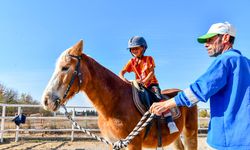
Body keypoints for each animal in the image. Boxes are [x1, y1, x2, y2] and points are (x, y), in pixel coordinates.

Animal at [41, 40, 197, 150]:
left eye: (65, 67)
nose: (46, 100)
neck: (114, 104)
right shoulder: (113, 144)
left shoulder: (133, 144)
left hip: (190, 133)